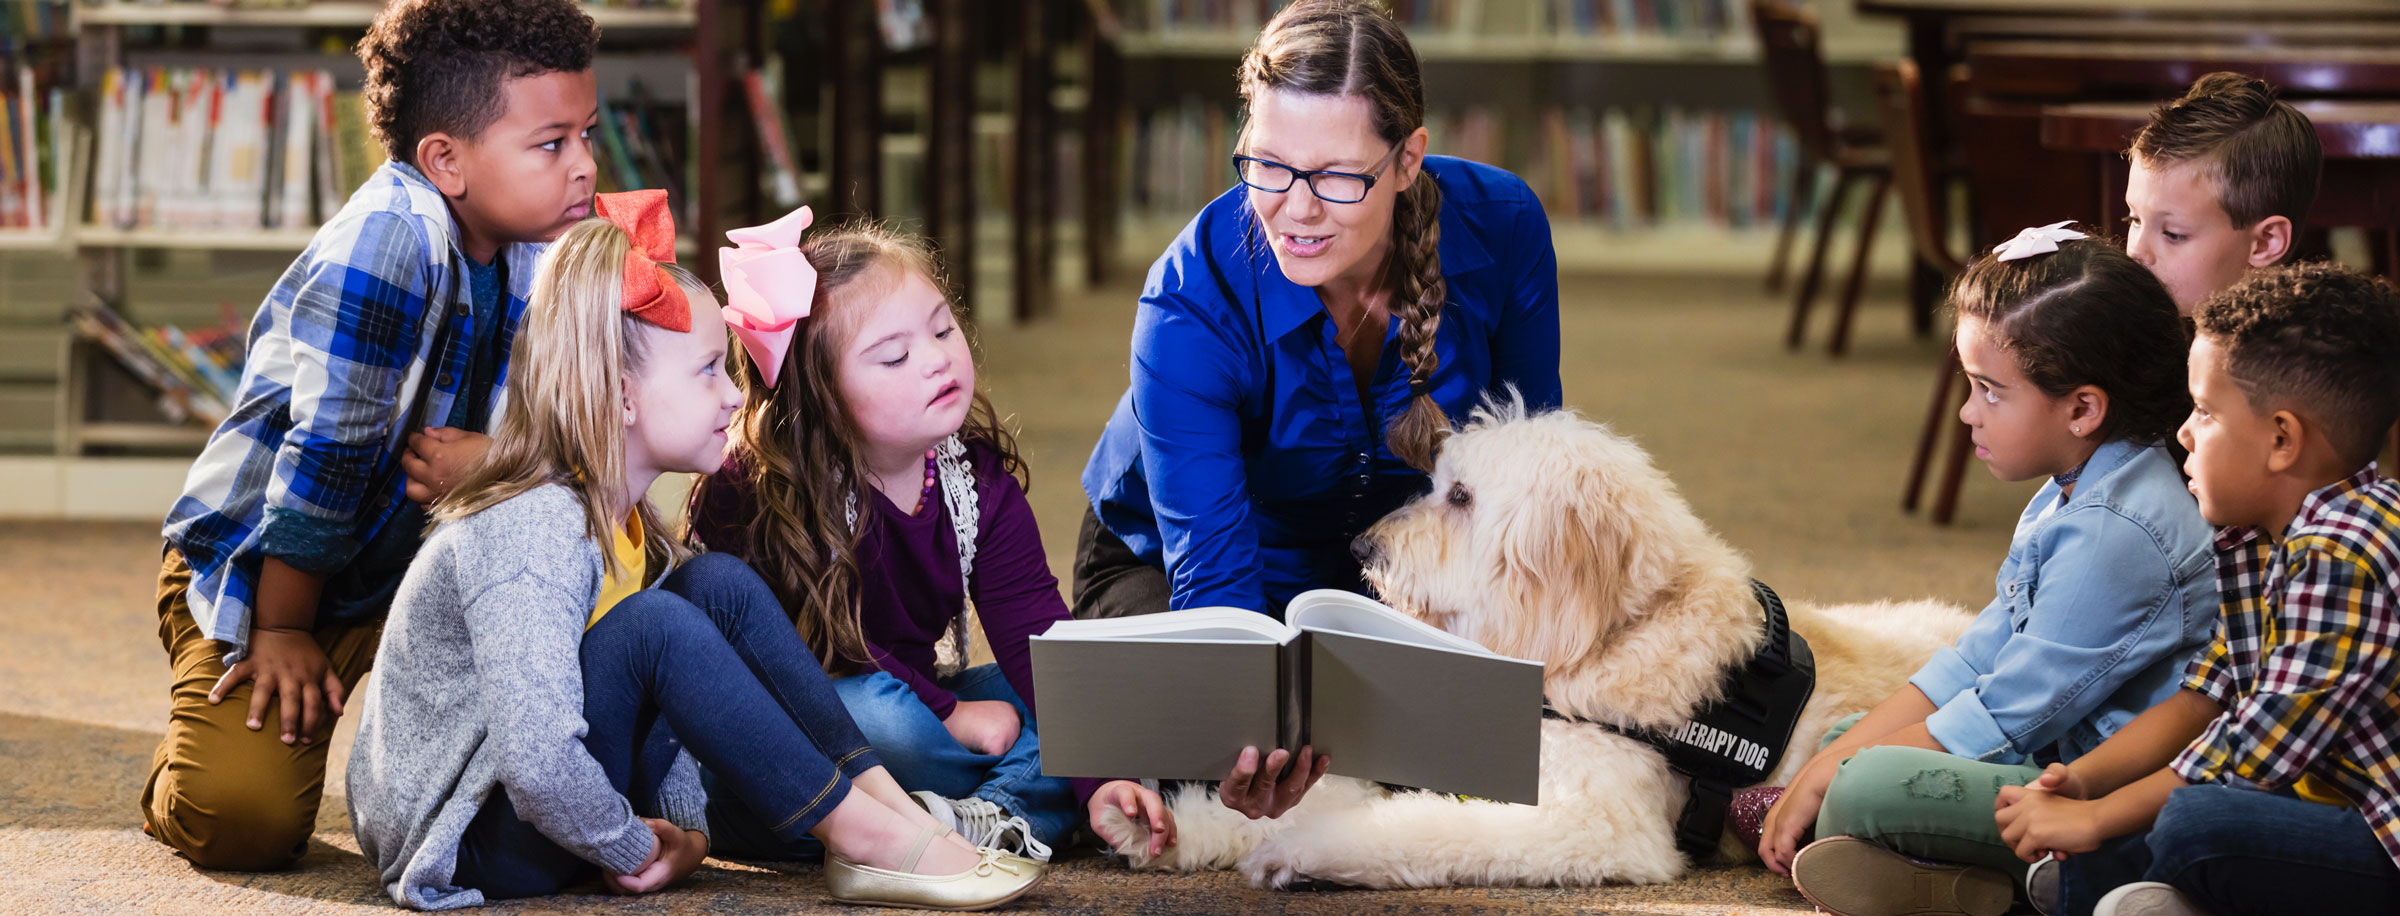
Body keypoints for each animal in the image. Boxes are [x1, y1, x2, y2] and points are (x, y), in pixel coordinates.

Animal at [1099, 400, 1977, 887]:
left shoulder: (1593, 822)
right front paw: (1163, 827)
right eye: (1436, 482)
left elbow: (1418, 828)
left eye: (1459, 496)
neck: (1611, 639)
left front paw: (1300, 847)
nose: (1362, 548)